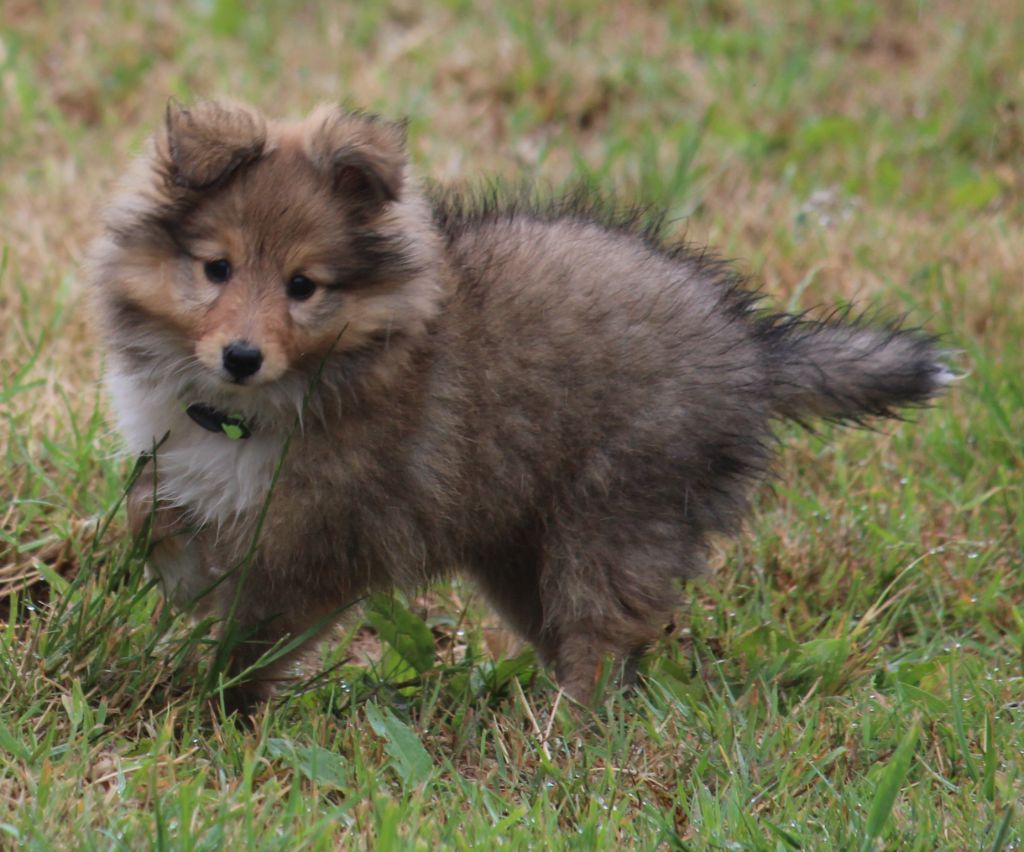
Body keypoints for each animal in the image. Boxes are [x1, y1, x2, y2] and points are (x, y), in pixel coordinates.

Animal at [88, 100, 951, 710]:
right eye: (217, 268)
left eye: (304, 286)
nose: (241, 356)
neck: (248, 411)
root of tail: (753, 350)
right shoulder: (186, 472)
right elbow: (146, 512)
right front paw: (162, 578)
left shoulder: (321, 545)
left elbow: (253, 645)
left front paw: (214, 713)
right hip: (517, 547)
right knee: (588, 646)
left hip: (616, 517)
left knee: (601, 641)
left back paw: (564, 741)